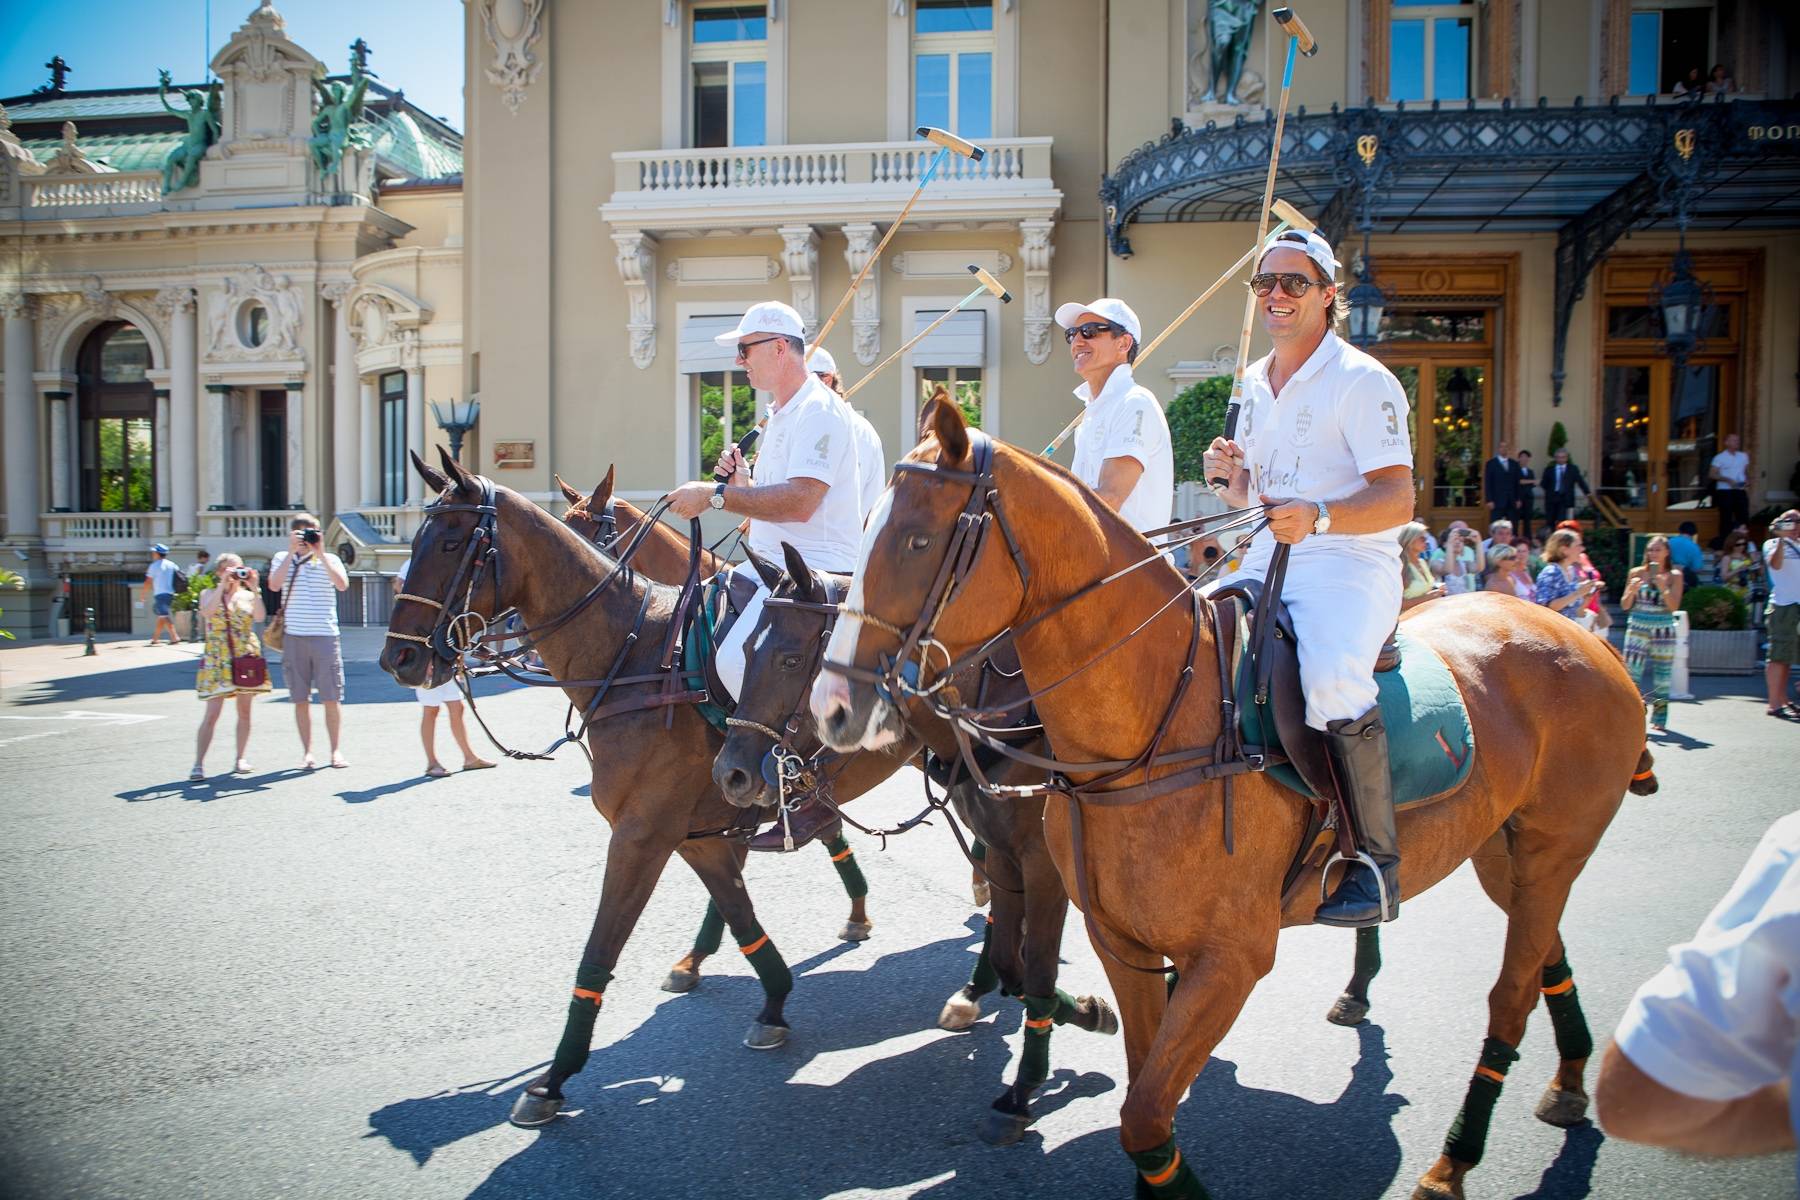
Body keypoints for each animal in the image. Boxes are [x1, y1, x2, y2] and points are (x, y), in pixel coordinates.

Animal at [709, 543, 1116, 1144]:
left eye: (790, 660)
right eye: (745, 651)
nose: (730, 775)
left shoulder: (1044, 865)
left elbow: (1039, 974)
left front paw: (1025, 1087)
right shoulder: (1004, 852)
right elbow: (1012, 961)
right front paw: (1073, 1010)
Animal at [817, 401, 1656, 1200]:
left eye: (918, 541)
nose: (833, 708)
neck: (1154, 728)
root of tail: (1592, 640)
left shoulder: (1231, 959)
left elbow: (1142, 1114)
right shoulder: (1121, 941)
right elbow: (1141, 1100)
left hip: (1553, 847)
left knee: (1511, 996)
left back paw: (1453, 1162)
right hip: (1504, 851)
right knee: (1545, 954)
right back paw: (1569, 1080)